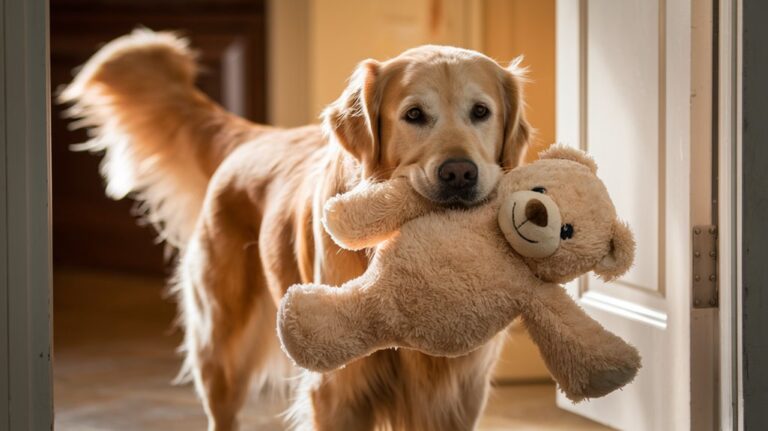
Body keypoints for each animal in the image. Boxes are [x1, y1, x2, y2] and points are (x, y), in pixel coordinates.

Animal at [60, 28, 532, 430]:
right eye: (414, 115)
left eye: (481, 112)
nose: (459, 174)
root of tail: (255, 137)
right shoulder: (338, 388)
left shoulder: (455, 395)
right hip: (222, 348)